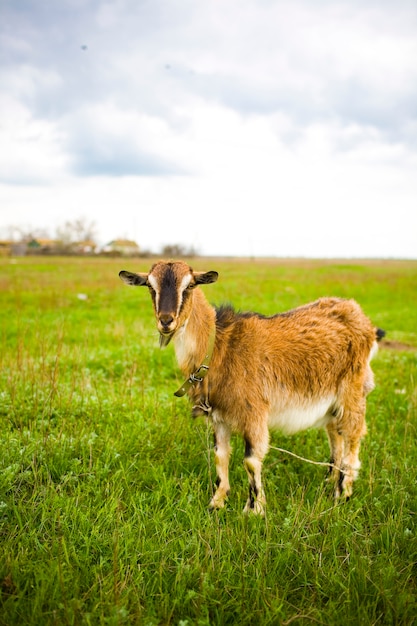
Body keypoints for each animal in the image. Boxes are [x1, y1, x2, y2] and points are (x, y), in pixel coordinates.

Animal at [118, 260, 382, 516]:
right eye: (150, 286)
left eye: (190, 285)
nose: (166, 321)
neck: (220, 347)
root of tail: (360, 317)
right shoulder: (219, 416)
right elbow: (220, 456)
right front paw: (217, 502)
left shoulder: (253, 412)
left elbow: (251, 460)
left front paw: (254, 510)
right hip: (330, 399)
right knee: (335, 433)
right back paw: (329, 479)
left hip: (352, 389)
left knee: (353, 433)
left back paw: (343, 491)